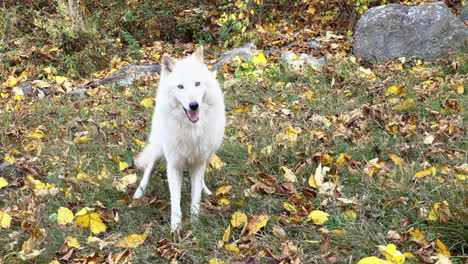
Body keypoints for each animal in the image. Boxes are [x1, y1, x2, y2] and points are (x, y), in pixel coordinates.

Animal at [133, 47, 226, 231]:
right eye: (180, 87)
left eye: (197, 84)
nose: (194, 105)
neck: (190, 130)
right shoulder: (174, 165)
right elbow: (175, 201)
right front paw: (175, 228)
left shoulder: (198, 163)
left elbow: (195, 197)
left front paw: (195, 224)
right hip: (159, 146)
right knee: (150, 165)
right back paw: (139, 192)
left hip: (211, 150)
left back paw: (207, 191)